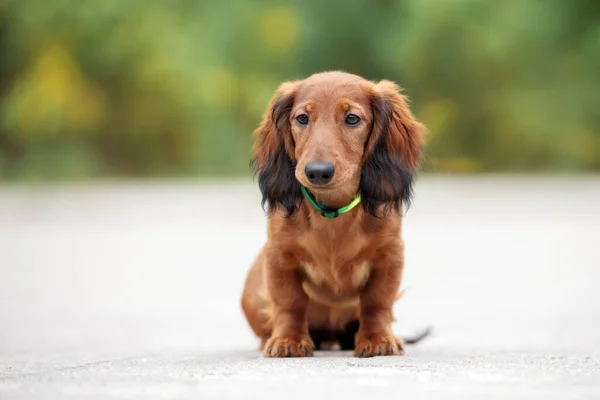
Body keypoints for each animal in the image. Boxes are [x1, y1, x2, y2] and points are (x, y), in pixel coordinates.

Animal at [240, 70, 426, 358]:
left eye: (352, 118)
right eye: (302, 118)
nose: (317, 172)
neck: (332, 211)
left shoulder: (390, 255)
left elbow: (376, 302)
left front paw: (377, 339)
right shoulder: (279, 255)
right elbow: (290, 301)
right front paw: (288, 339)